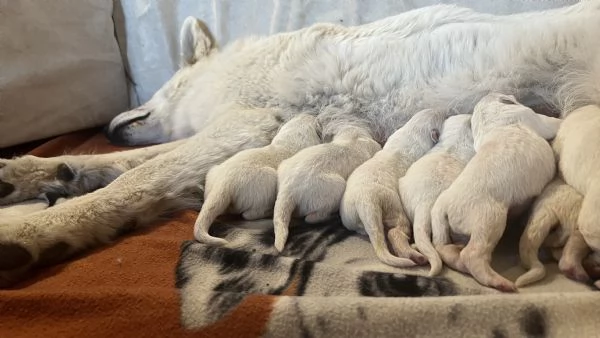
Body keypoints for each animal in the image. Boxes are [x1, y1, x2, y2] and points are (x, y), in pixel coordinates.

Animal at [195, 114, 322, 246]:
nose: (310, 114)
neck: (290, 140)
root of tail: (223, 185)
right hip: (268, 182)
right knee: (248, 214)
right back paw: (268, 211)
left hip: (212, 172)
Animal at [340, 108, 448, 266]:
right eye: (442, 116)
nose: (444, 110)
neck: (414, 129)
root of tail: (366, 202)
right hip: (393, 207)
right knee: (395, 232)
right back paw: (415, 256)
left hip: (351, 216)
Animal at [432, 92, 564, 290]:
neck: (487, 116)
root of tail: (443, 206)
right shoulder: (532, 117)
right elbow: (552, 123)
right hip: (490, 220)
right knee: (472, 254)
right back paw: (500, 282)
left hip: (447, 229)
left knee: (445, 249)